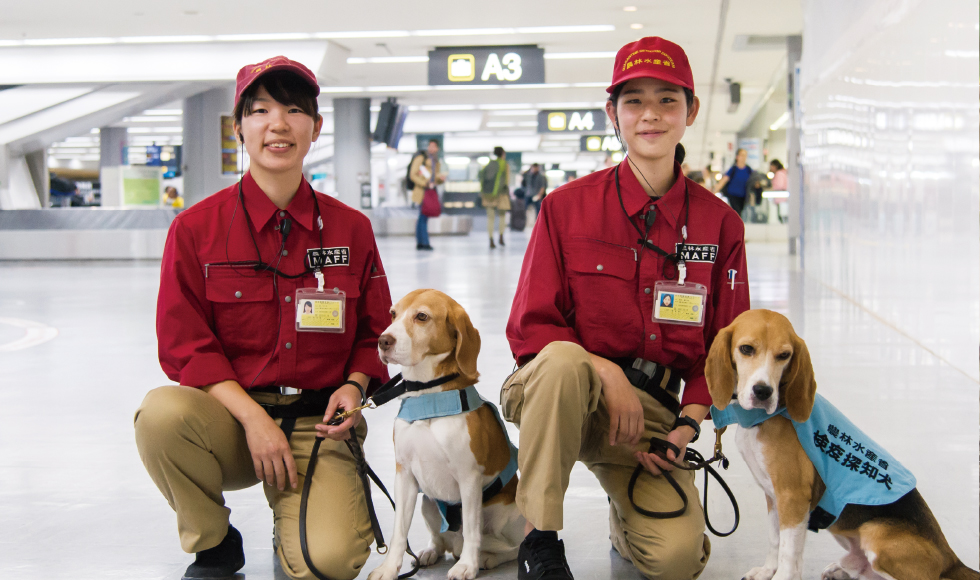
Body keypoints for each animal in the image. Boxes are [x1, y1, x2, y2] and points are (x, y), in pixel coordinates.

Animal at [368, 290, 524, 580]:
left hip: (506, 519)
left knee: (511, 548)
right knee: (440, 540)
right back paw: (431, 551)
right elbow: (398, 533)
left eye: (421, 316)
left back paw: (485, 558)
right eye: (393, 313)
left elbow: (473, 530)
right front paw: (389, 568)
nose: (383, 341)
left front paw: (467, 566)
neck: (427, 394)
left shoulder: (469, 478)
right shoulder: (404, 476)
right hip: (428, 503)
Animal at [708, 312, 976, 580]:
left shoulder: (792, 496)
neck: (766, 416)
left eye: (784, 355)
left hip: (874, 532)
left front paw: (781, 576)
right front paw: (767, 571)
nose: (763, 392)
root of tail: (951, 559)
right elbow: (776, 540)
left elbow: (788, 551)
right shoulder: (773, 495)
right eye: (746, 349)